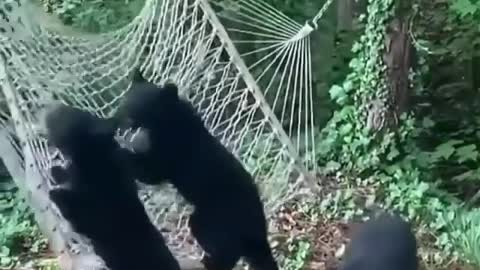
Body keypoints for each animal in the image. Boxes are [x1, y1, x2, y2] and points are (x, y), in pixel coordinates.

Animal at [114, 72, 278, 270]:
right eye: (126, 102)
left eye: (143, 108)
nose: (124, 121)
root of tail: (258, 223)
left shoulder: (171, 151)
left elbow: (151, 172)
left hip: (220, 216)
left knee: (221, 243)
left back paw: (212, 262)